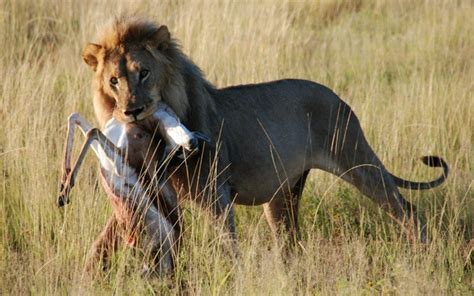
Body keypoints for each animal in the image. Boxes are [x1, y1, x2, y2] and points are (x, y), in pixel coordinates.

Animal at [81, 17, 448, 246]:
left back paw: (422, 254)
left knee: (407, 210)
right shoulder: (149, 192)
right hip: (283, 194)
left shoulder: (216, 196)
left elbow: (227, 247)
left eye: (143, 72)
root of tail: (338, 97)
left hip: (358, 160)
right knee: (290, 243)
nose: (131, 110)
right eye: (114, 80)